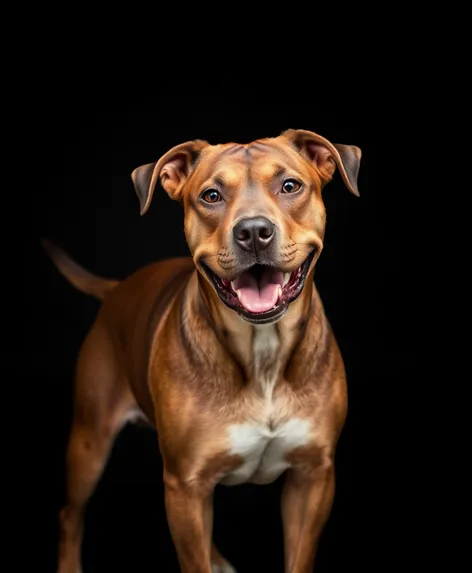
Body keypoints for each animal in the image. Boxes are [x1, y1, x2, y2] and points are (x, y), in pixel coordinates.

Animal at [44, 130, 362, 572]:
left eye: (290, 186)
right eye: (211, 195)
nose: (254, 231)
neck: (262, 353)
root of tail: (118, 288)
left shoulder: (312, 478)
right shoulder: (185, 484)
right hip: (89, 443)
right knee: (69, 514)